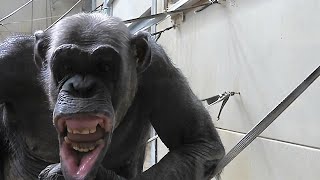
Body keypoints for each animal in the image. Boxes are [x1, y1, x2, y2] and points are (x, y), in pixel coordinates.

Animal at [0, 13, 225, 180]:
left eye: (105, 67)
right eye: (67, 66)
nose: (82, 87)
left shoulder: (160, 70)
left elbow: (199, 144)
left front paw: (100, 176)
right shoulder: (9, 59)